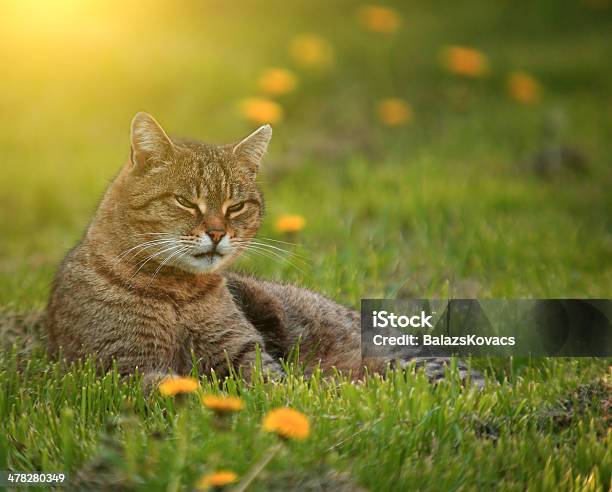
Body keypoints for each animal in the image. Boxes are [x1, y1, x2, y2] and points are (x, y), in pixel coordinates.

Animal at [44, 112, 482, 388]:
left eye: (236, 206)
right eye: (185, 202)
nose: (217, 233)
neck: (177, 293)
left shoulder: (243, 351)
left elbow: (274, 386)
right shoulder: (119, 365)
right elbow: (174, 388)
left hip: (406, 361)